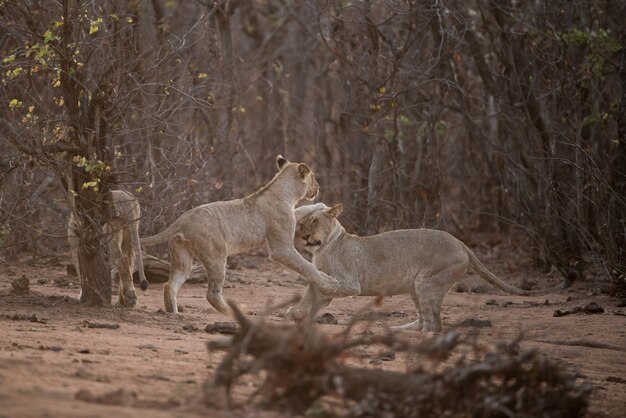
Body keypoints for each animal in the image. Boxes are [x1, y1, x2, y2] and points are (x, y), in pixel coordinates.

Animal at [139, 155, 344, 316]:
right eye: (314, 178)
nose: (318, 187)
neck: (282, 191)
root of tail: (181, 220)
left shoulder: (291, 216)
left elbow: (301, 210)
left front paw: (321, 205)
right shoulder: (281, 249)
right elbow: (306, 266)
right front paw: (329, 284)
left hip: (182, 258)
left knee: (170, 285)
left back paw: (172, 312)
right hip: (216, 254)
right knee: (212, 294)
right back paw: (235, 313)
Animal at [290, 203, 572, 334]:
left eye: (315, 222)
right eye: (301, 223)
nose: (304, 237)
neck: (324, 247)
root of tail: (461, 243)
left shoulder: (351, 283)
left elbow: (322, 286)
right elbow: (311, 293)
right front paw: (299, 314)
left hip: (426, 282)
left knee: (434, 326)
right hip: (416, 286)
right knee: (426, 320)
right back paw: (397, 330)